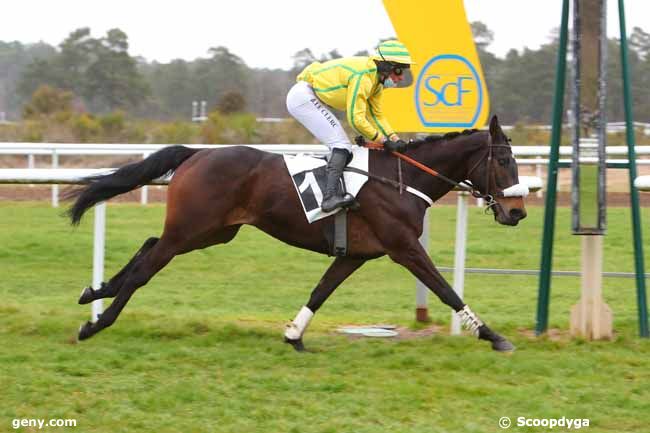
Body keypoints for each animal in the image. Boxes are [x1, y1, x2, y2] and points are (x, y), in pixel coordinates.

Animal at [67, 115, 528, 352]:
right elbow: (446, 290)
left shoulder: (355, 254)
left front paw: (294, 334)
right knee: (147, 266)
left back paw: (95, 291)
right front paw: (492, 335)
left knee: (148, 246)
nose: (518, 211)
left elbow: (320, 291)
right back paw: (96, 323)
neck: (402, 180)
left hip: (212, 231)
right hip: (191, 229)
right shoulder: (404, 247)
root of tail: (196, 154)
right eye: (505, 161)